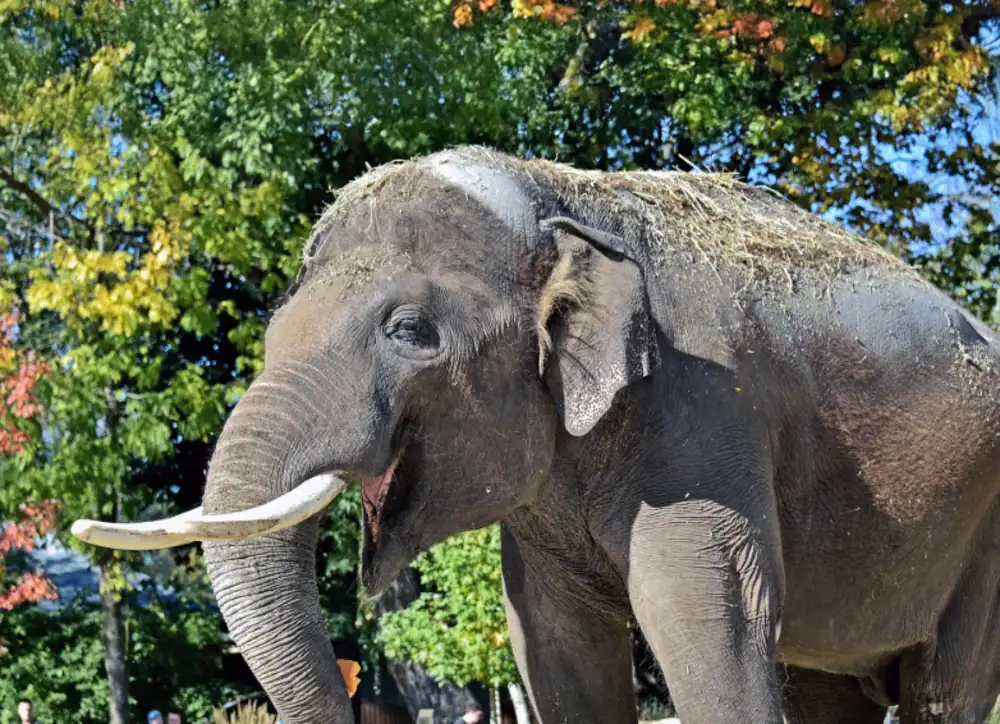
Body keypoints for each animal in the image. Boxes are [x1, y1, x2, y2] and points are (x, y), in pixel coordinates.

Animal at [73, 146, 1000, 724]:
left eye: (409, 331)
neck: (564, 202)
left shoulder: (707, 412)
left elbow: (704, 613)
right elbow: (555, 645)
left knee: (945, 687)